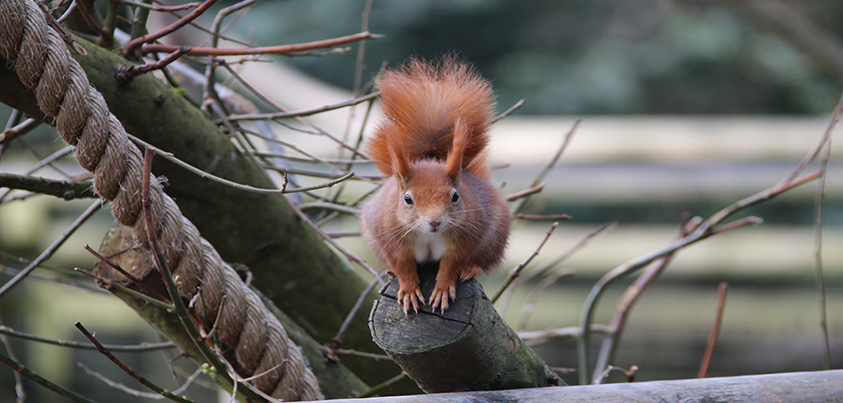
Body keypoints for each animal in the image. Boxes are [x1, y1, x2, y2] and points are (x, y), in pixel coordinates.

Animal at [361, 57, 511, 314]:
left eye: (456, 196)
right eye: (407, 199)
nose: (435, 221)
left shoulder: (465, 237)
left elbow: (451, 264)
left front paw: (442, 289)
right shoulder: (390, 238)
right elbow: (403, 265)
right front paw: (409, 289)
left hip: (495, 236)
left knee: (483, 260)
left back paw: (472, 268)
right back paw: (390, 271)